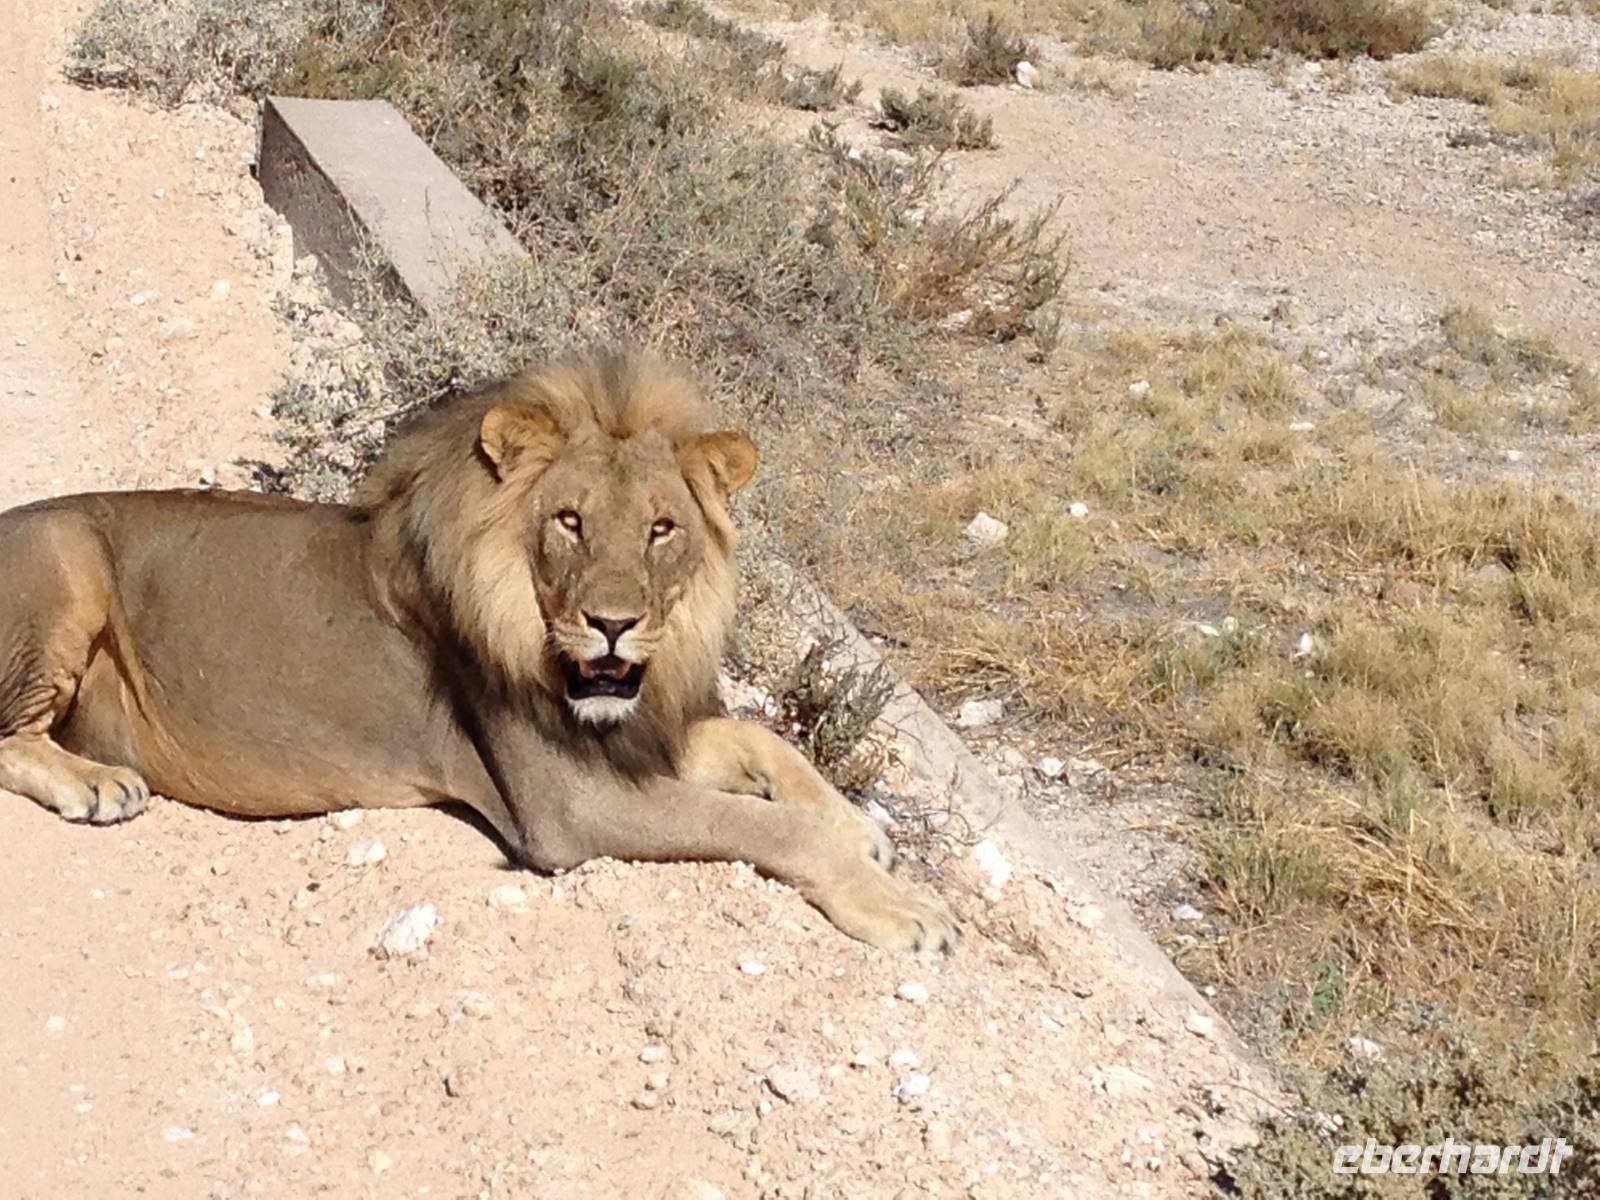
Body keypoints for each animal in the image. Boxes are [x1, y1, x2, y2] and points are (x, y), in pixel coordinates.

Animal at [0, 347, 956, 953]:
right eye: (569, 521)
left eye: (661, 529)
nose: (614, 624)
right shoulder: (570, 809)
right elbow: (764, 824)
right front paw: (904, 907)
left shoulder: (636, 729)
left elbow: (768, 744)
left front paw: (860, 827)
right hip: (68, 554)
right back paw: (97, 784)